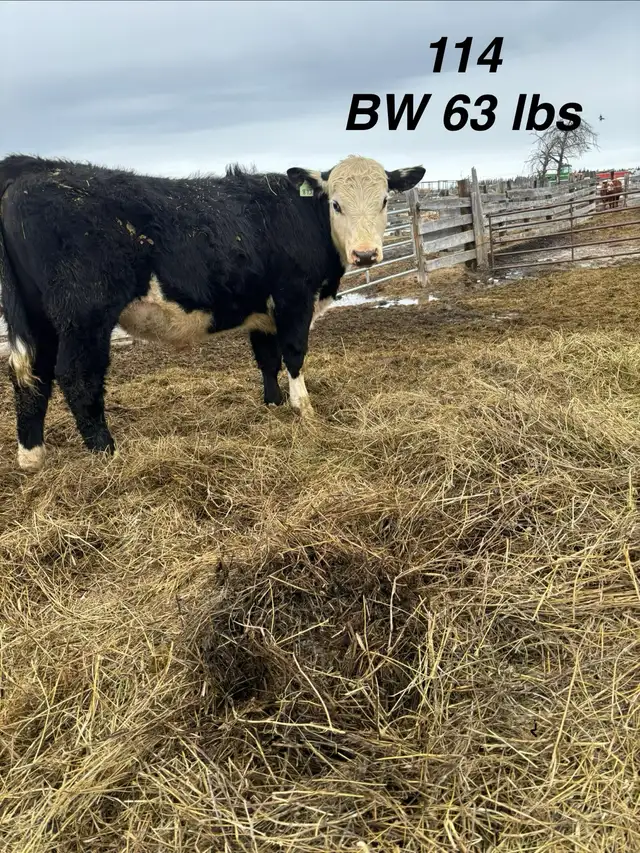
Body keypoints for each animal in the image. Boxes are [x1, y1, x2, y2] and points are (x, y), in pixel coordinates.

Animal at [0, 153, 425, 472]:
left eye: (385, 200)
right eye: (336, 203)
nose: (366, 254)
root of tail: (34, 167)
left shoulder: (262, 312)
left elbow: (267, 359)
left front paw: (272, 405)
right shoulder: (294, 300)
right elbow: (293, 354)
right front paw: (303, 409)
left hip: (37, 315)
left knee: (29, 371)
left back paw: (32, 456)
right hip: (84, 314)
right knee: (77, 375)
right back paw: (106, 451)